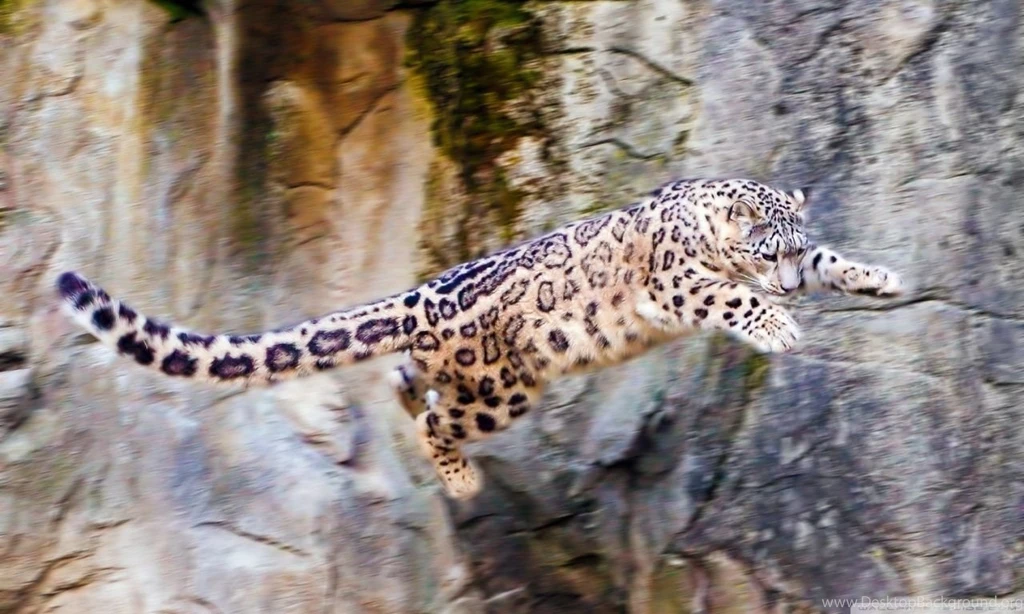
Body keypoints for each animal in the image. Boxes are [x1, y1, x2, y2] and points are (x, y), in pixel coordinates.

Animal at [55, 178, 905, 500]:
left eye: (797, 248)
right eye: (766, 252)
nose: (786, 287)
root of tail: (421, 295)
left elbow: (838, 264)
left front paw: (881, 277)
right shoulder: (677, 281)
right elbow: (724, 293)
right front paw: (779, 325)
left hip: (466, 375)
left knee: (406, 381)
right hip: (505, 388)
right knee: (437, 418)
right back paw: (461, 480)